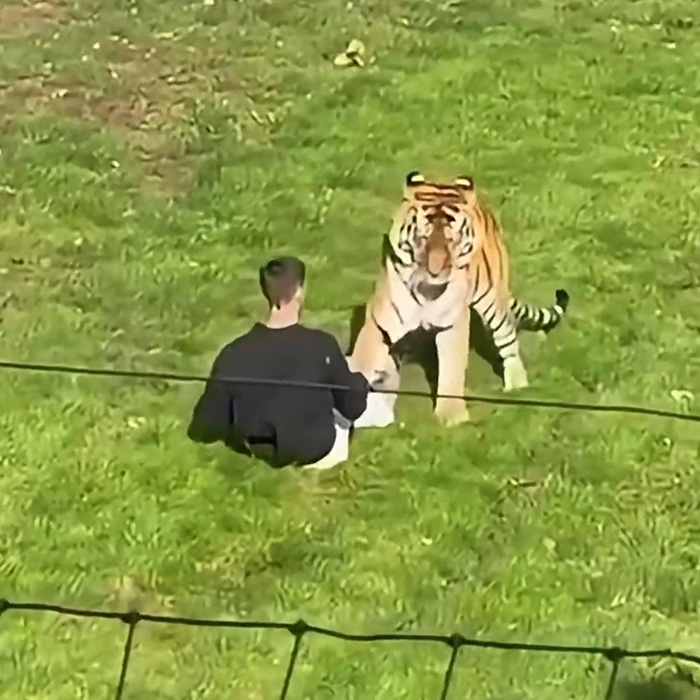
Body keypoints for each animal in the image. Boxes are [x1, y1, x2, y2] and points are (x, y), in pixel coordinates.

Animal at [348, 170, 570, 426]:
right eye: (422, 238)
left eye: (451, 240)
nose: (435, 271)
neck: (426, 291)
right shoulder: (379, 321)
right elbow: (365, 357)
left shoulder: (453, 324)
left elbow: (452, 370)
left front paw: (452, 417)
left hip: (492, 301)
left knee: (508, 340)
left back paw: (517, 386)